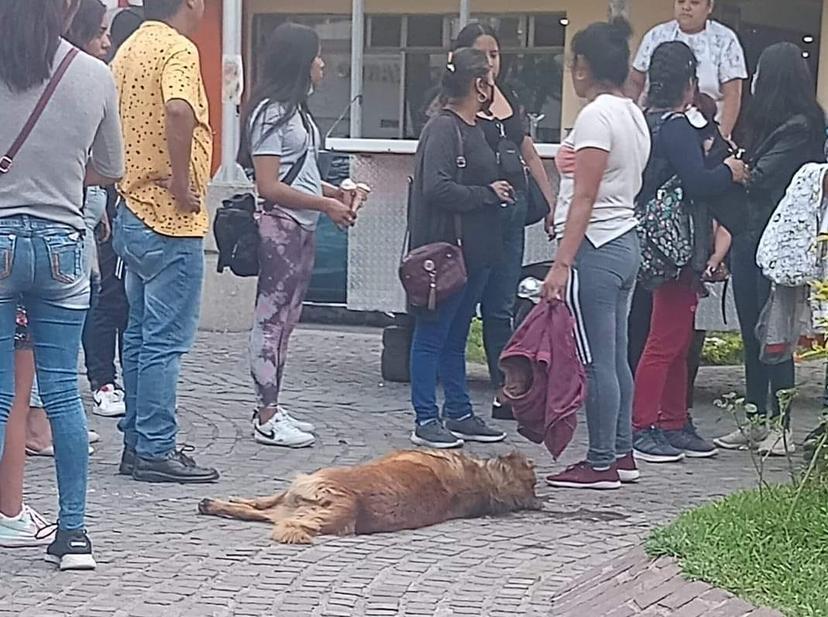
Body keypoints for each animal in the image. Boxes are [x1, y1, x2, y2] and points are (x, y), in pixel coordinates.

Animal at [197, 448, 540, 544]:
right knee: (259, 511)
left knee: (259, 507)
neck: (483, 482)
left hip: (308, 480)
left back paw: (212, 503)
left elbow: (259, 501)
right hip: (298, 503)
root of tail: (351, 505)